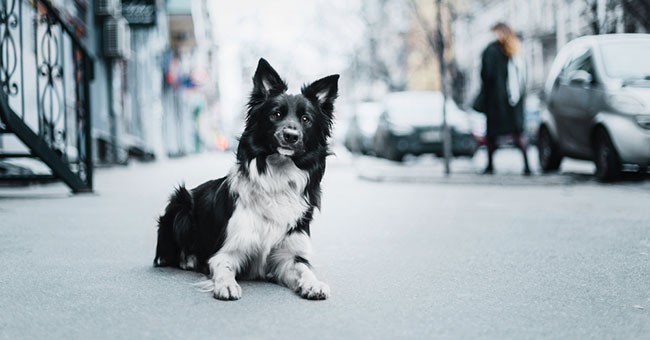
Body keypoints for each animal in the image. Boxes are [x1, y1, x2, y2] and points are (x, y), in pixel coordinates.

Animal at [154, 57, 336, 300]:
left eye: (306, 119)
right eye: (276, 114)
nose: (290, 136)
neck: (277, 178)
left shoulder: (288, 255)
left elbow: (304, 268)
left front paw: (314, 283)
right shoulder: (227, 250)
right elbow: (223, 266)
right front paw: (226, 284)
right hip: (180, 204)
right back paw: (189, 259)